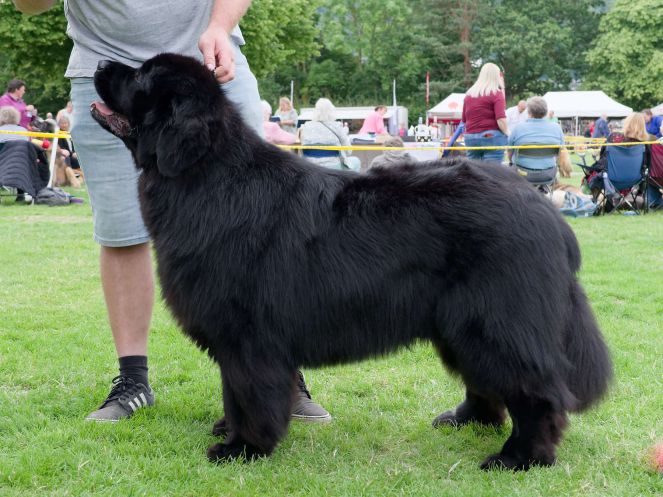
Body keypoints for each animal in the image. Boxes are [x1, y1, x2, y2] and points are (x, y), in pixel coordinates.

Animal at [92, 54, 612, 468]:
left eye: (141, 76)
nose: (98, 65)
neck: (206, 176)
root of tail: (545, 211)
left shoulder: (247, 336)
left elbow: (247, 393)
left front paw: (244, 447)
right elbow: (233, 390)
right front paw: (230, 431)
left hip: (493, 319)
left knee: (537, 391)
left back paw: (520, 457)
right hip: (461, 323)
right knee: (488, 381)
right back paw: (468, 420)